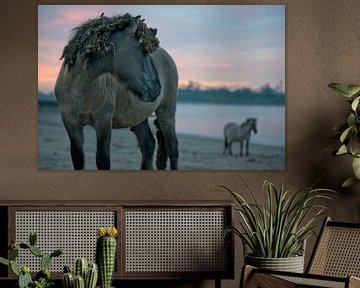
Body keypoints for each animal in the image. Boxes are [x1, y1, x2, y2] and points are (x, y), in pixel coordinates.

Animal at [54, 13, 179, 170]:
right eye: (143, 51)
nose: (157, 90)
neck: (78, 89)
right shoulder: (71, 123)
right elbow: (78, 159)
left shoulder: (103, 122)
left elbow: (102, 160)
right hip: (138, 116)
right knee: (148, 144)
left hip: (166, 114)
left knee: (172, 148)